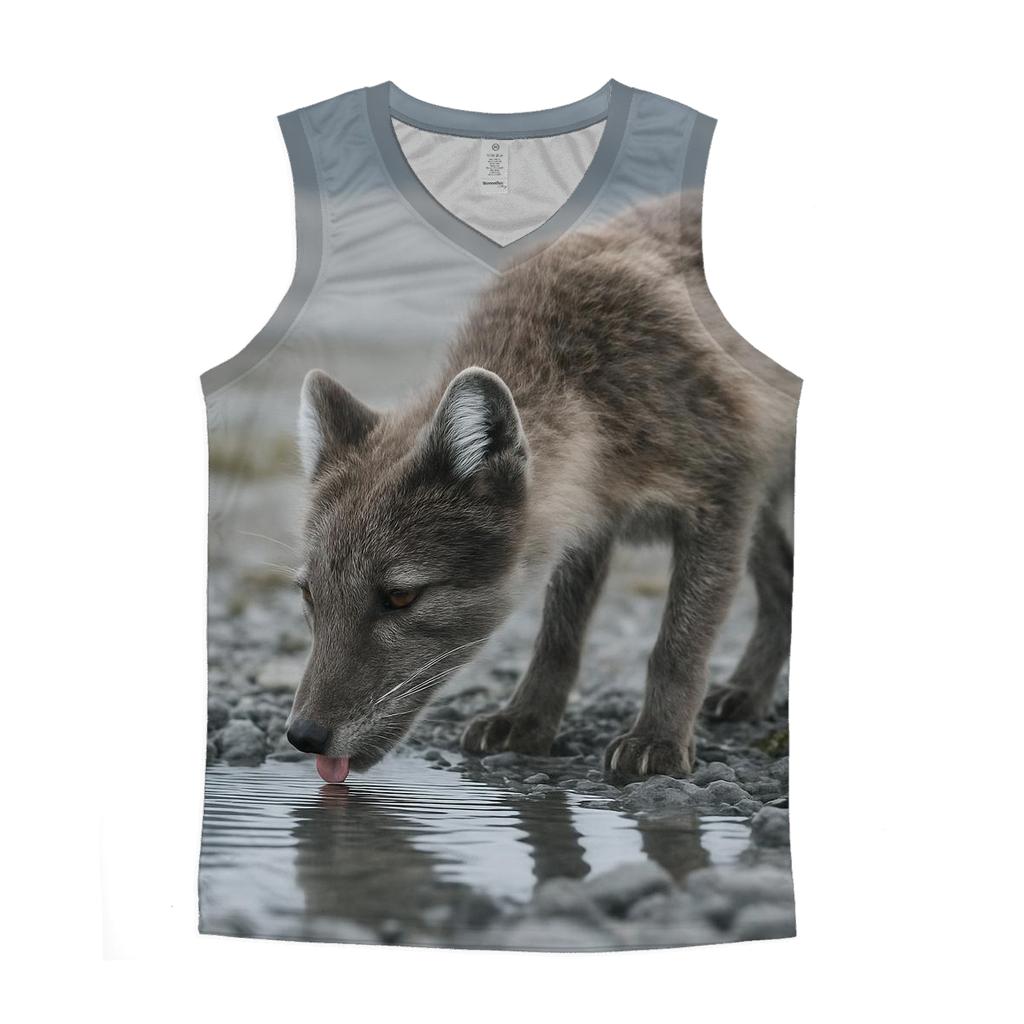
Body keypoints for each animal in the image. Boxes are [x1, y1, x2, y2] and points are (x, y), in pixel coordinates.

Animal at [285, 190, 799, 785]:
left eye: (401, 597)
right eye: (309, 594)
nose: (303, 737)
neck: (596, 391)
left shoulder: (721, 499)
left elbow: (678, 643)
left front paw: (658, 741)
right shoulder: (587, 526)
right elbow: (558, 637)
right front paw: (527, 722)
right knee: (785, 587)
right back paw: (748, 694)